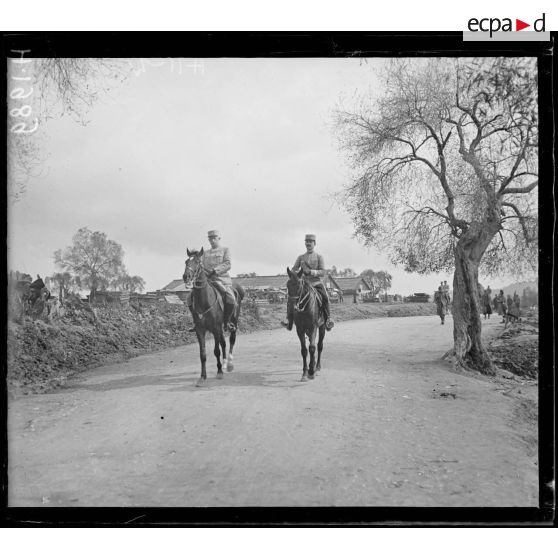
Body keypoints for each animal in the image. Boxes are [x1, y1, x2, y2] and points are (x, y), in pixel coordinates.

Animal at [184, 250, 245, 388]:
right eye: (186, 262)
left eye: (198, 262)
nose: (186, 276)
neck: (204, 301)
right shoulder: (200, 330)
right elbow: (203, 354)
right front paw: (202, 377)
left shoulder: (215, 328)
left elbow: (216, 350)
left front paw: (219, 372)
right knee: (223, 343)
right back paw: (224, 363)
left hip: (232, 322)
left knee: (231, 340)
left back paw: (229, 364)